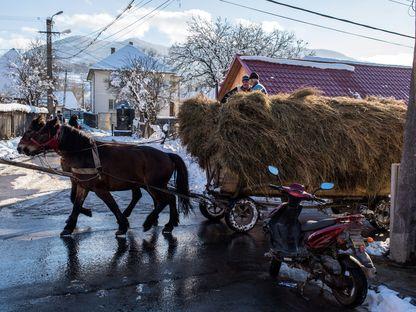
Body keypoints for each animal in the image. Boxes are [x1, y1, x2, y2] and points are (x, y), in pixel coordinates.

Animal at [20, 118, 192, 235]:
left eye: (40, 133)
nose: (21, 148)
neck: (85, 153)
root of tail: (167, 155)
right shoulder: (82, 185)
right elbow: (76, 204)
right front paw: (69, 227)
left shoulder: (99, 189)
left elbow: (112, 205)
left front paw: (122, 225)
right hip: (153, 185)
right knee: (169, 199)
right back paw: (169, 224)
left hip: (155, 185)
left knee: (164, 201)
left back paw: (149, 222)